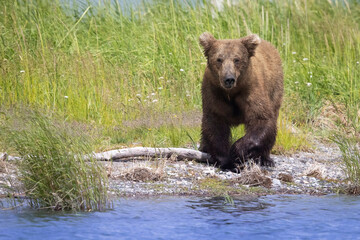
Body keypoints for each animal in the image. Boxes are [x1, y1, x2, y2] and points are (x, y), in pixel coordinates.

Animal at [198, 32, 282, 171]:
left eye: (236, 59)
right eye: (219, 59)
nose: (229, 79)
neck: (232, 92)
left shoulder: (251, 90)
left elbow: (261, 119)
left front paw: (236, 151)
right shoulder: (214, 92)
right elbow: (215, 123)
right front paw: (226, 160)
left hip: (274, 90)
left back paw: (266, 159)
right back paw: (204, 149)